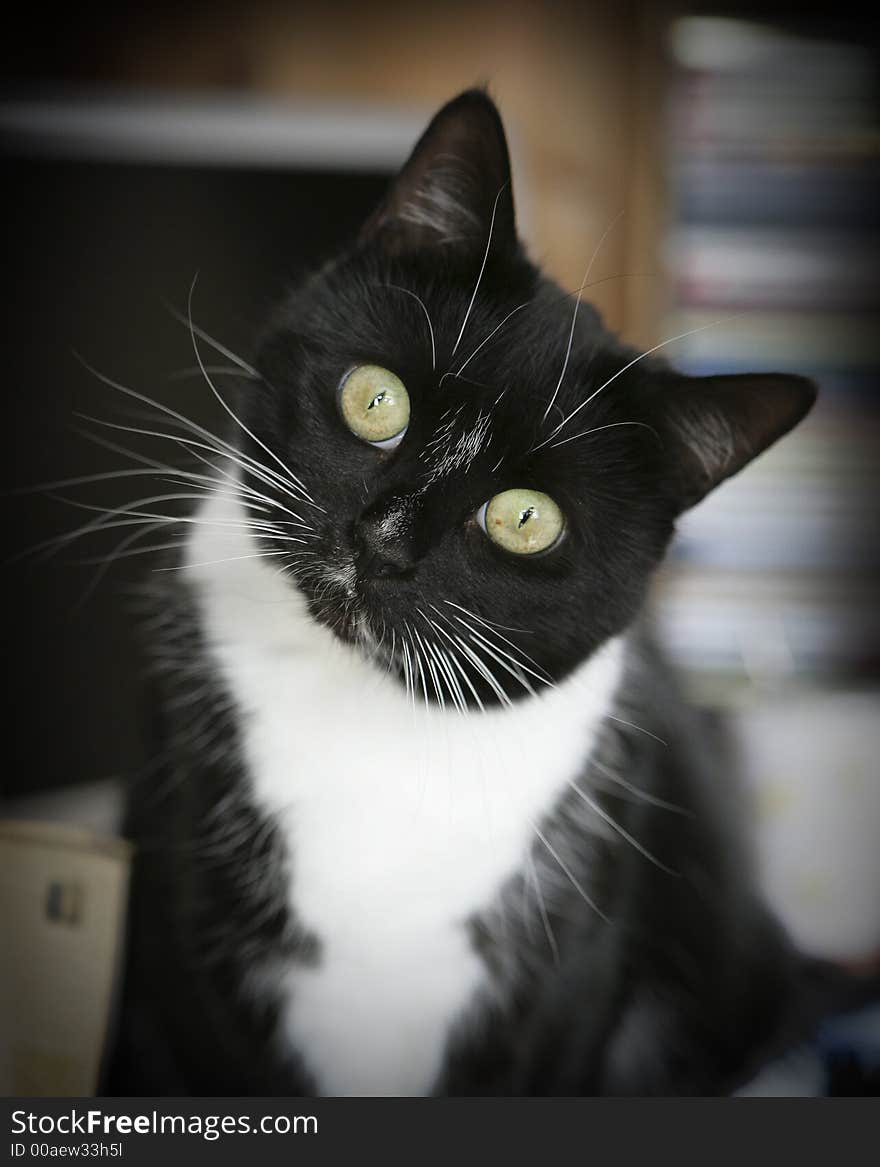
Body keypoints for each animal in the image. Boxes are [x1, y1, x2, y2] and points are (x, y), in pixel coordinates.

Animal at [104, 88, 830, 1092]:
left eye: (526, 518)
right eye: (376, 399)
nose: (381, 541)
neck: (363, 713)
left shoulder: (565, 972)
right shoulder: (181, 925)